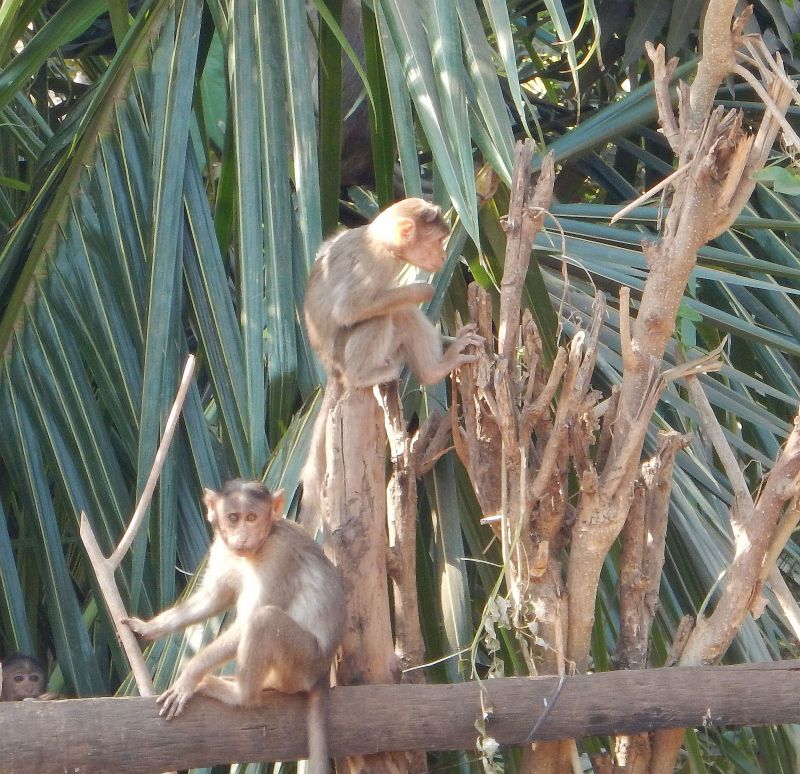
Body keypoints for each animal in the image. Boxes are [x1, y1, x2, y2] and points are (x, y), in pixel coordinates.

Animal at [123, 480, 344, 774]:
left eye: (251, 518)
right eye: (233, 518)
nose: (241, 536)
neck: (262, 544)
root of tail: (322, 671)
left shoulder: (279, 554)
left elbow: (247, 619)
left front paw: (189, 674)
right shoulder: (221, 548)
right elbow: (213, 598)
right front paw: (146, 628)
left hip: (304, 664)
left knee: (264, 620)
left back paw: (240, 694)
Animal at [301, 197, 483, 527]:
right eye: (437, 241)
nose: (442, 255)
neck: (380, 240)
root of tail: (331, 369)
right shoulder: (375, 265)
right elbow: (350, 310)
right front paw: (423, 288)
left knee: (400, 315)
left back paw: (435, 366)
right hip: (345, 357)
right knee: (385, 314)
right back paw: (370, 375)